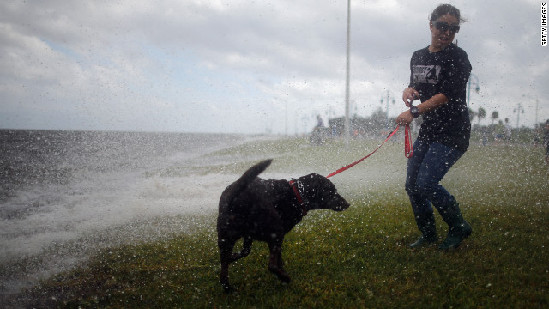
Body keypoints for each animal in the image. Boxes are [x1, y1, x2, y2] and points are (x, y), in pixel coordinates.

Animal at [217, 159, 348, 292]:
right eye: (331, 190)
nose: (347, 204)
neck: (297, 194)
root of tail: (236, 199)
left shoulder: (252, 236)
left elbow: (246, 251)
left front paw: (232, 257)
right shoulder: (275, 237)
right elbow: (277, 260)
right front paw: (283, 274)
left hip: (225, 237)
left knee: (224, 264)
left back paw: (228, 286)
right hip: (275, 231)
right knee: (271, 265)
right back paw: (285, 278)